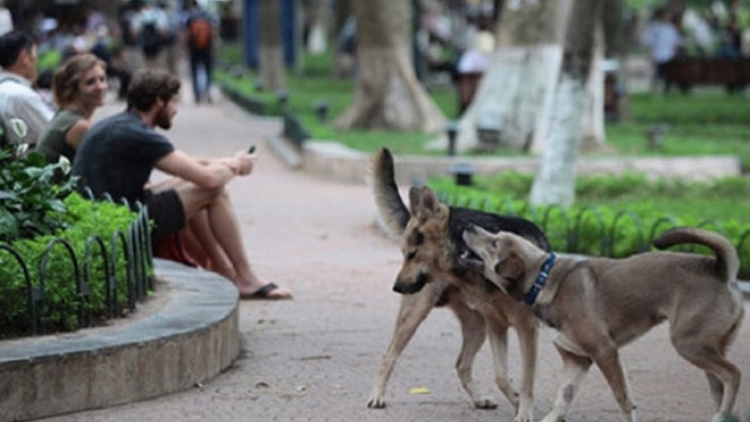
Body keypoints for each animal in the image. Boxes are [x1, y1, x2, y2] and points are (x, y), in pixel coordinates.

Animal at [370, 148, 552, 422]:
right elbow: (502, 376)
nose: (396, 287)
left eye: (411, 254)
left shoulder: (524, 327)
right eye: (403, 254)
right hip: (416, 317)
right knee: (389, 354)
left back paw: (479, 399)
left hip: (477, 326)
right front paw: (520, 404)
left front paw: (523, 408)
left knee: (462, 364)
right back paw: (378, 395)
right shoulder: (498, 325)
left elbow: (522, 378)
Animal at [458, 224, 748, 422]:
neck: (545, 278)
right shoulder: (577, 359)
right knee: (721, 384)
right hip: (705, 350)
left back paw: (722, 412)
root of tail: (720, 270)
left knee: (733, 374)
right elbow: (564, 396)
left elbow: (622, 399)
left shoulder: (605, 352)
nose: (469, 225)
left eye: (494, 242)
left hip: (689, 344)